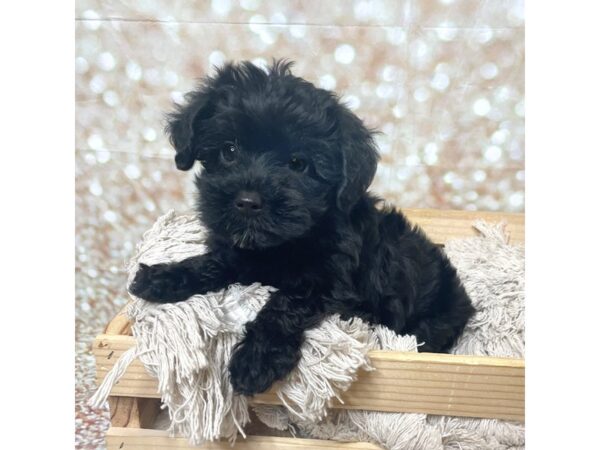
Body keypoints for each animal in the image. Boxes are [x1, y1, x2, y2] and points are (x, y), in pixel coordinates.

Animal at [129, 60, 476, 398]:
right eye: (229, 150)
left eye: (298, 164)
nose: (247, 201)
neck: (282, 245)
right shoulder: (236, 251)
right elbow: (211, 263)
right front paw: (162, 277)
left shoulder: (330, 283)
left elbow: (284, 305)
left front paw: (256, 360)